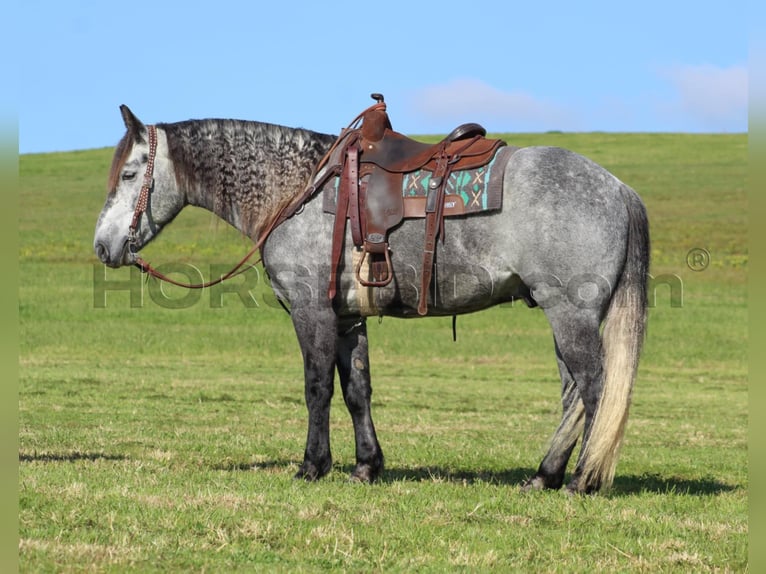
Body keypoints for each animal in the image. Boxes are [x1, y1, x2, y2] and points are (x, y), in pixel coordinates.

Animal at [93, 103, 652, 496]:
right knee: (573, 394)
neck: (297, 189)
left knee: (595, 388)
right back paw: (544, 475)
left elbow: (317, 387)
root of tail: (618, 188)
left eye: (129, 175)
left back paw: (581, 480)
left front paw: (312, 466)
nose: (103, 246)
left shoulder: (312, 312)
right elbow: (356, 389)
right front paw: (366, 466)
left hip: (570, 314)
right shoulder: (348, 319)